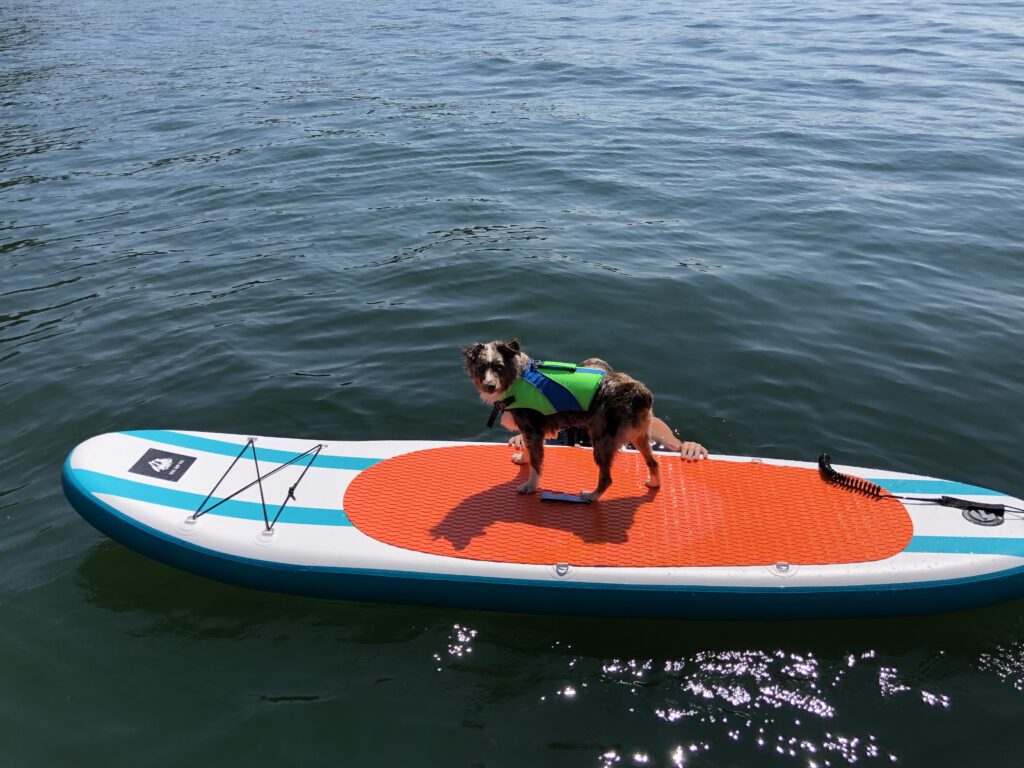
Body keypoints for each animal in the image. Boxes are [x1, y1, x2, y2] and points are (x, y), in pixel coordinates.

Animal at [462, 339, 659, 501]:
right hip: (639, 436)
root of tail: (639, 392)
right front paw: (523, 458)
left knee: (606, 478)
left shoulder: (533, 430)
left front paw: (530, 486)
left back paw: (591, 496)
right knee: (653, 462)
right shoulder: (529, 430)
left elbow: (536, 463)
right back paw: (654, 483)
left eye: (499, 367)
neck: (516, 378)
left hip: (602, 440)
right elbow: (528, 450)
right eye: (481, 368)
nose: (489, 386)